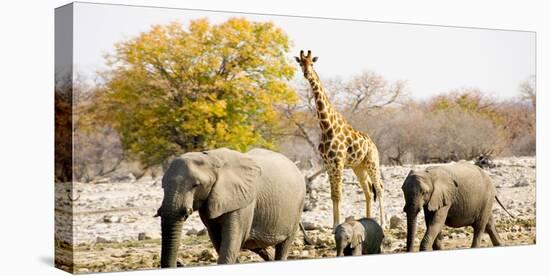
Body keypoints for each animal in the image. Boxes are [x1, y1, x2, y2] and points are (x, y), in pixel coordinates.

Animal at [157, 148, 308, 266]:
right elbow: (219, 240)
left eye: (196, 185)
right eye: (162, 185)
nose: (178, 263)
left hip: (298, 206)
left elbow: (230, 241)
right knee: (258, 246)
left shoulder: (243, 201)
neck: (210, 158)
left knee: (284, 245)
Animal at [296, 49, 386, 229]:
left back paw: (383, 223)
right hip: (359, 167)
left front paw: (337, 224)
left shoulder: (337, 162)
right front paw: (334, 225)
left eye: (312, 62)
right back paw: (368, 220)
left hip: (372, 162)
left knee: (379, 188)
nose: (306, 73)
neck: (326, 126)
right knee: (367, 190)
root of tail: (373, 144)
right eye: (301, 63)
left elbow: (338, 194)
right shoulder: (329, 164)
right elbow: (333, 195)